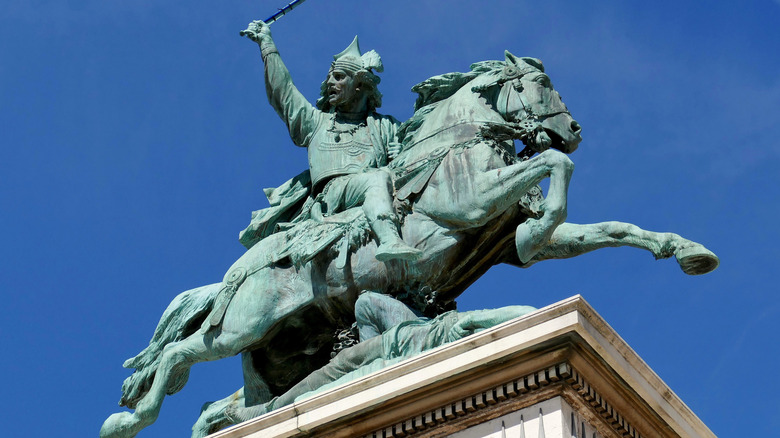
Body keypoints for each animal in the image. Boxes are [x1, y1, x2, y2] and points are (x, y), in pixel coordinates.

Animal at [100, 50, 716, 438]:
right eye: (538, 86)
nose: (573, 131)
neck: (459, 142)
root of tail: (235, 274)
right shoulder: (470, 204)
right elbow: (553, 167)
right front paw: (546, 202)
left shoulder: (509, 235)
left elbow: (611, 230)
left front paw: (685, 250)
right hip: (242, 325)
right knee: (179, 356)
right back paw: (126, 421)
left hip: (282, 350)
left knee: (223, 404)